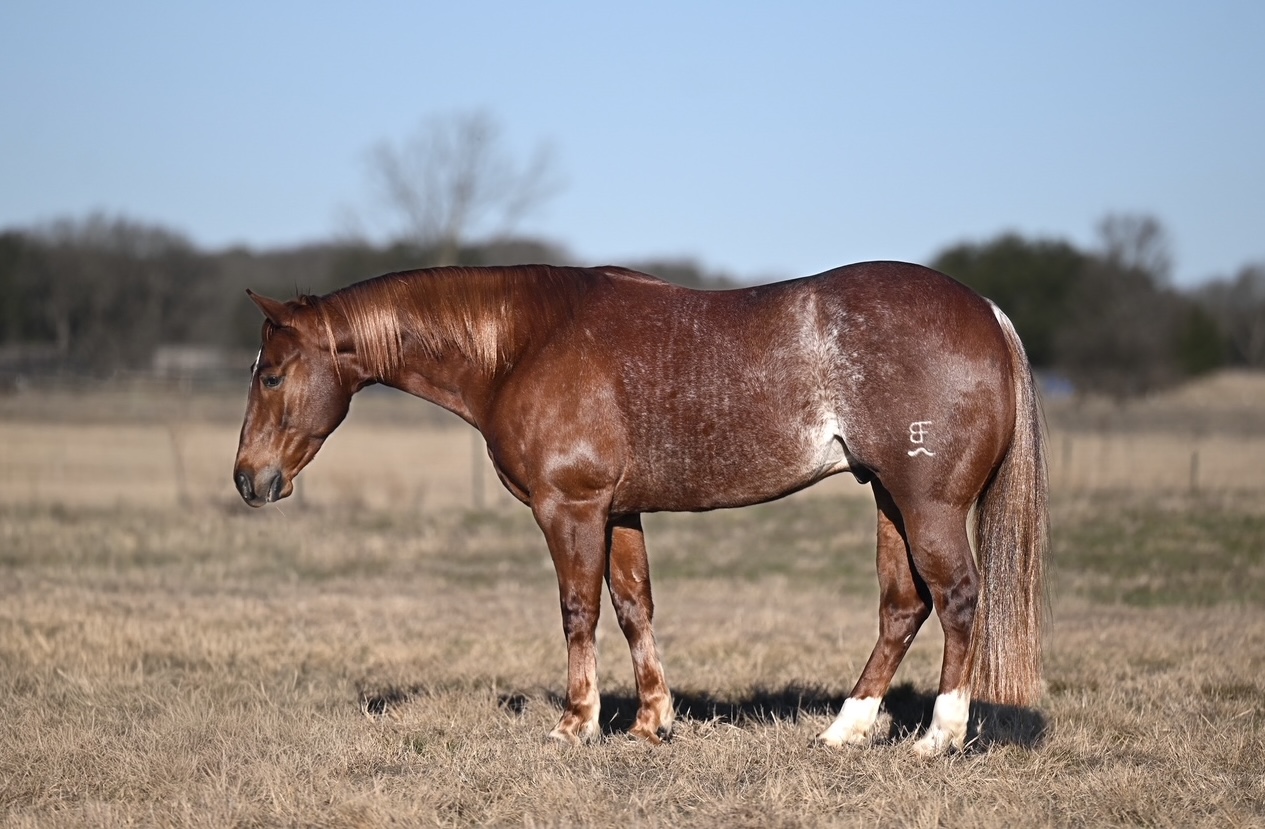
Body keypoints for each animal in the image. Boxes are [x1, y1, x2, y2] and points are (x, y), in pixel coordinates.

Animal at [232, 261, 1048, 756]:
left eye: (271, 375)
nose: (248, 478)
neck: (525, 341)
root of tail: (987, 312)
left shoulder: (570, 508)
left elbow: (578, 611)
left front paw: (576, 723)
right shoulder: (618, 512)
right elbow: (633, 607)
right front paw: (653, 722)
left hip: (927, 503)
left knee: (957, 598)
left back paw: (938, 736)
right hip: (887, 498)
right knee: (902, 607)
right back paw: (845, 729)